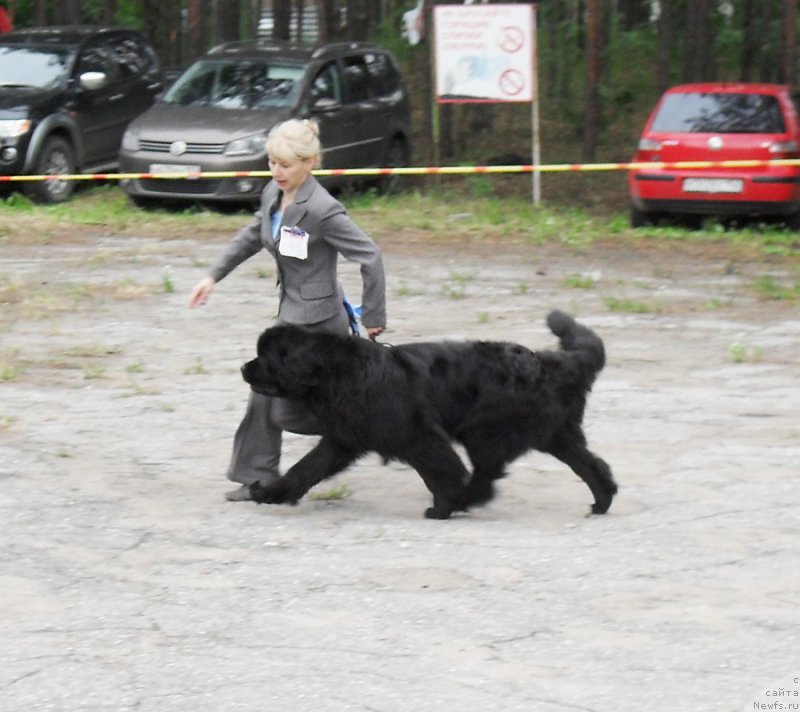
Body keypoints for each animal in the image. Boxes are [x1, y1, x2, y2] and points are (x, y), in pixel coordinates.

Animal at [241, 308, 616, 520]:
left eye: (266, 357)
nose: (244, 367)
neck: (337, 373)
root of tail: (549, 363)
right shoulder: (342, 440)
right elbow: (305, 469)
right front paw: (269, 493)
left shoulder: (418, 437)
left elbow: (440, 471)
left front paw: (443, 506)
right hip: (555, 434)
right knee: (591, 464)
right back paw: (601, 502)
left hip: (484, 431)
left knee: (485, 476)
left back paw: (461, 501)